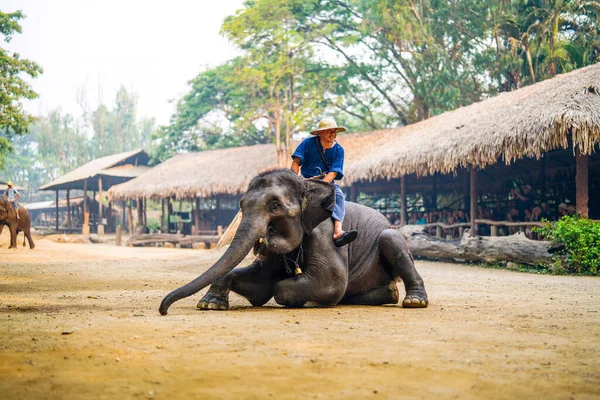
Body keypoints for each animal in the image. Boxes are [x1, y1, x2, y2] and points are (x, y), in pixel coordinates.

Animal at [159, 169, 428, 316]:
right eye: (241, 206)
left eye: (275, 206)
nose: (163, 310)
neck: (308, 185)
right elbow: (260, 285)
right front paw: (209, 305)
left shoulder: (324, 233)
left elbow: (328, 282)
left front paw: (308, 300)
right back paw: (390, 292)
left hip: (390, 238)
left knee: (391, 240)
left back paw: (414, 302)